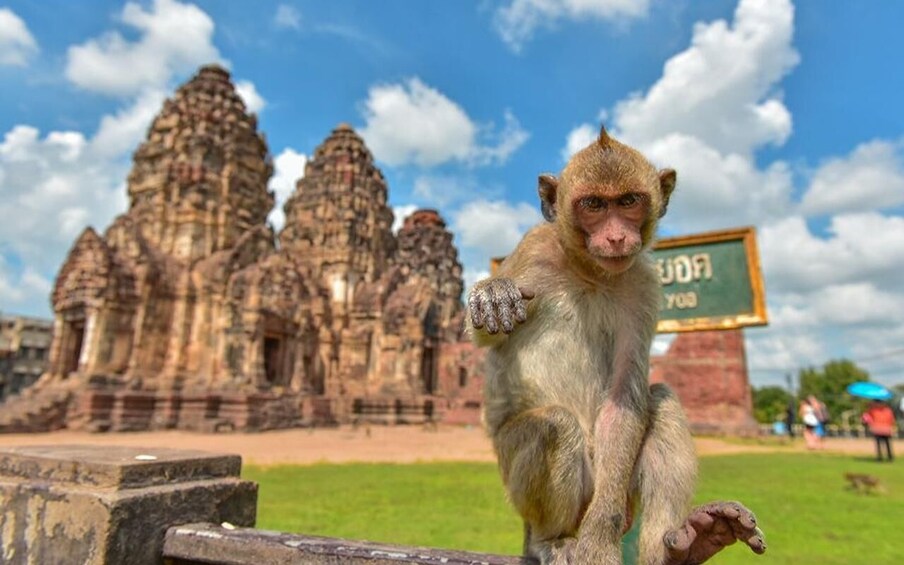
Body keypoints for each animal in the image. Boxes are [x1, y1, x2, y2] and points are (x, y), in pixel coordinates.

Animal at [467, 127, 766, 565]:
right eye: (593, 204)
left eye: (628, 202)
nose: (615, 235)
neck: (588, 271)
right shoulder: (532, 249)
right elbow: (484, 335)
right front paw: (493, 293)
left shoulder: (643, 285)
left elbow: (625, 396)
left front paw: (599, 541)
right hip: (515, 477)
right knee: (555, 425)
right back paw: (549, 539)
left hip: (620, 493)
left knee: (660, 400)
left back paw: (681, 546)